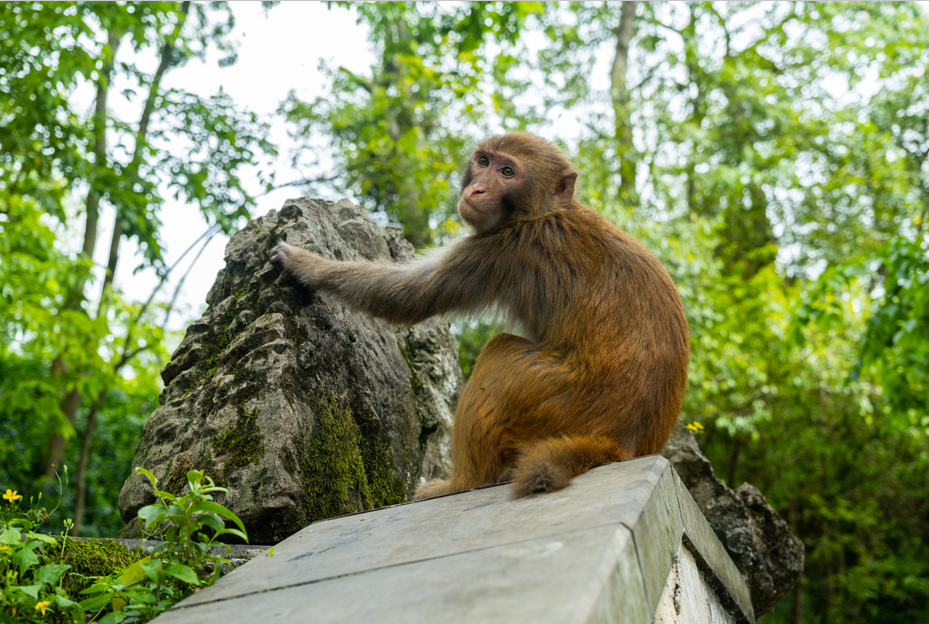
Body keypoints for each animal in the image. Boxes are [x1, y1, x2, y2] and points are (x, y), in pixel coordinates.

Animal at [268, 132, 688, 498]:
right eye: (483, 161)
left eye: (508, 172)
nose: (477, 190)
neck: (543, 212)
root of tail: (617, 443)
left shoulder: (504, 248)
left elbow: (408, 295)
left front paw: (307, 266)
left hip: (557, 398)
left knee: (499, 355)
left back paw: (463, 483)